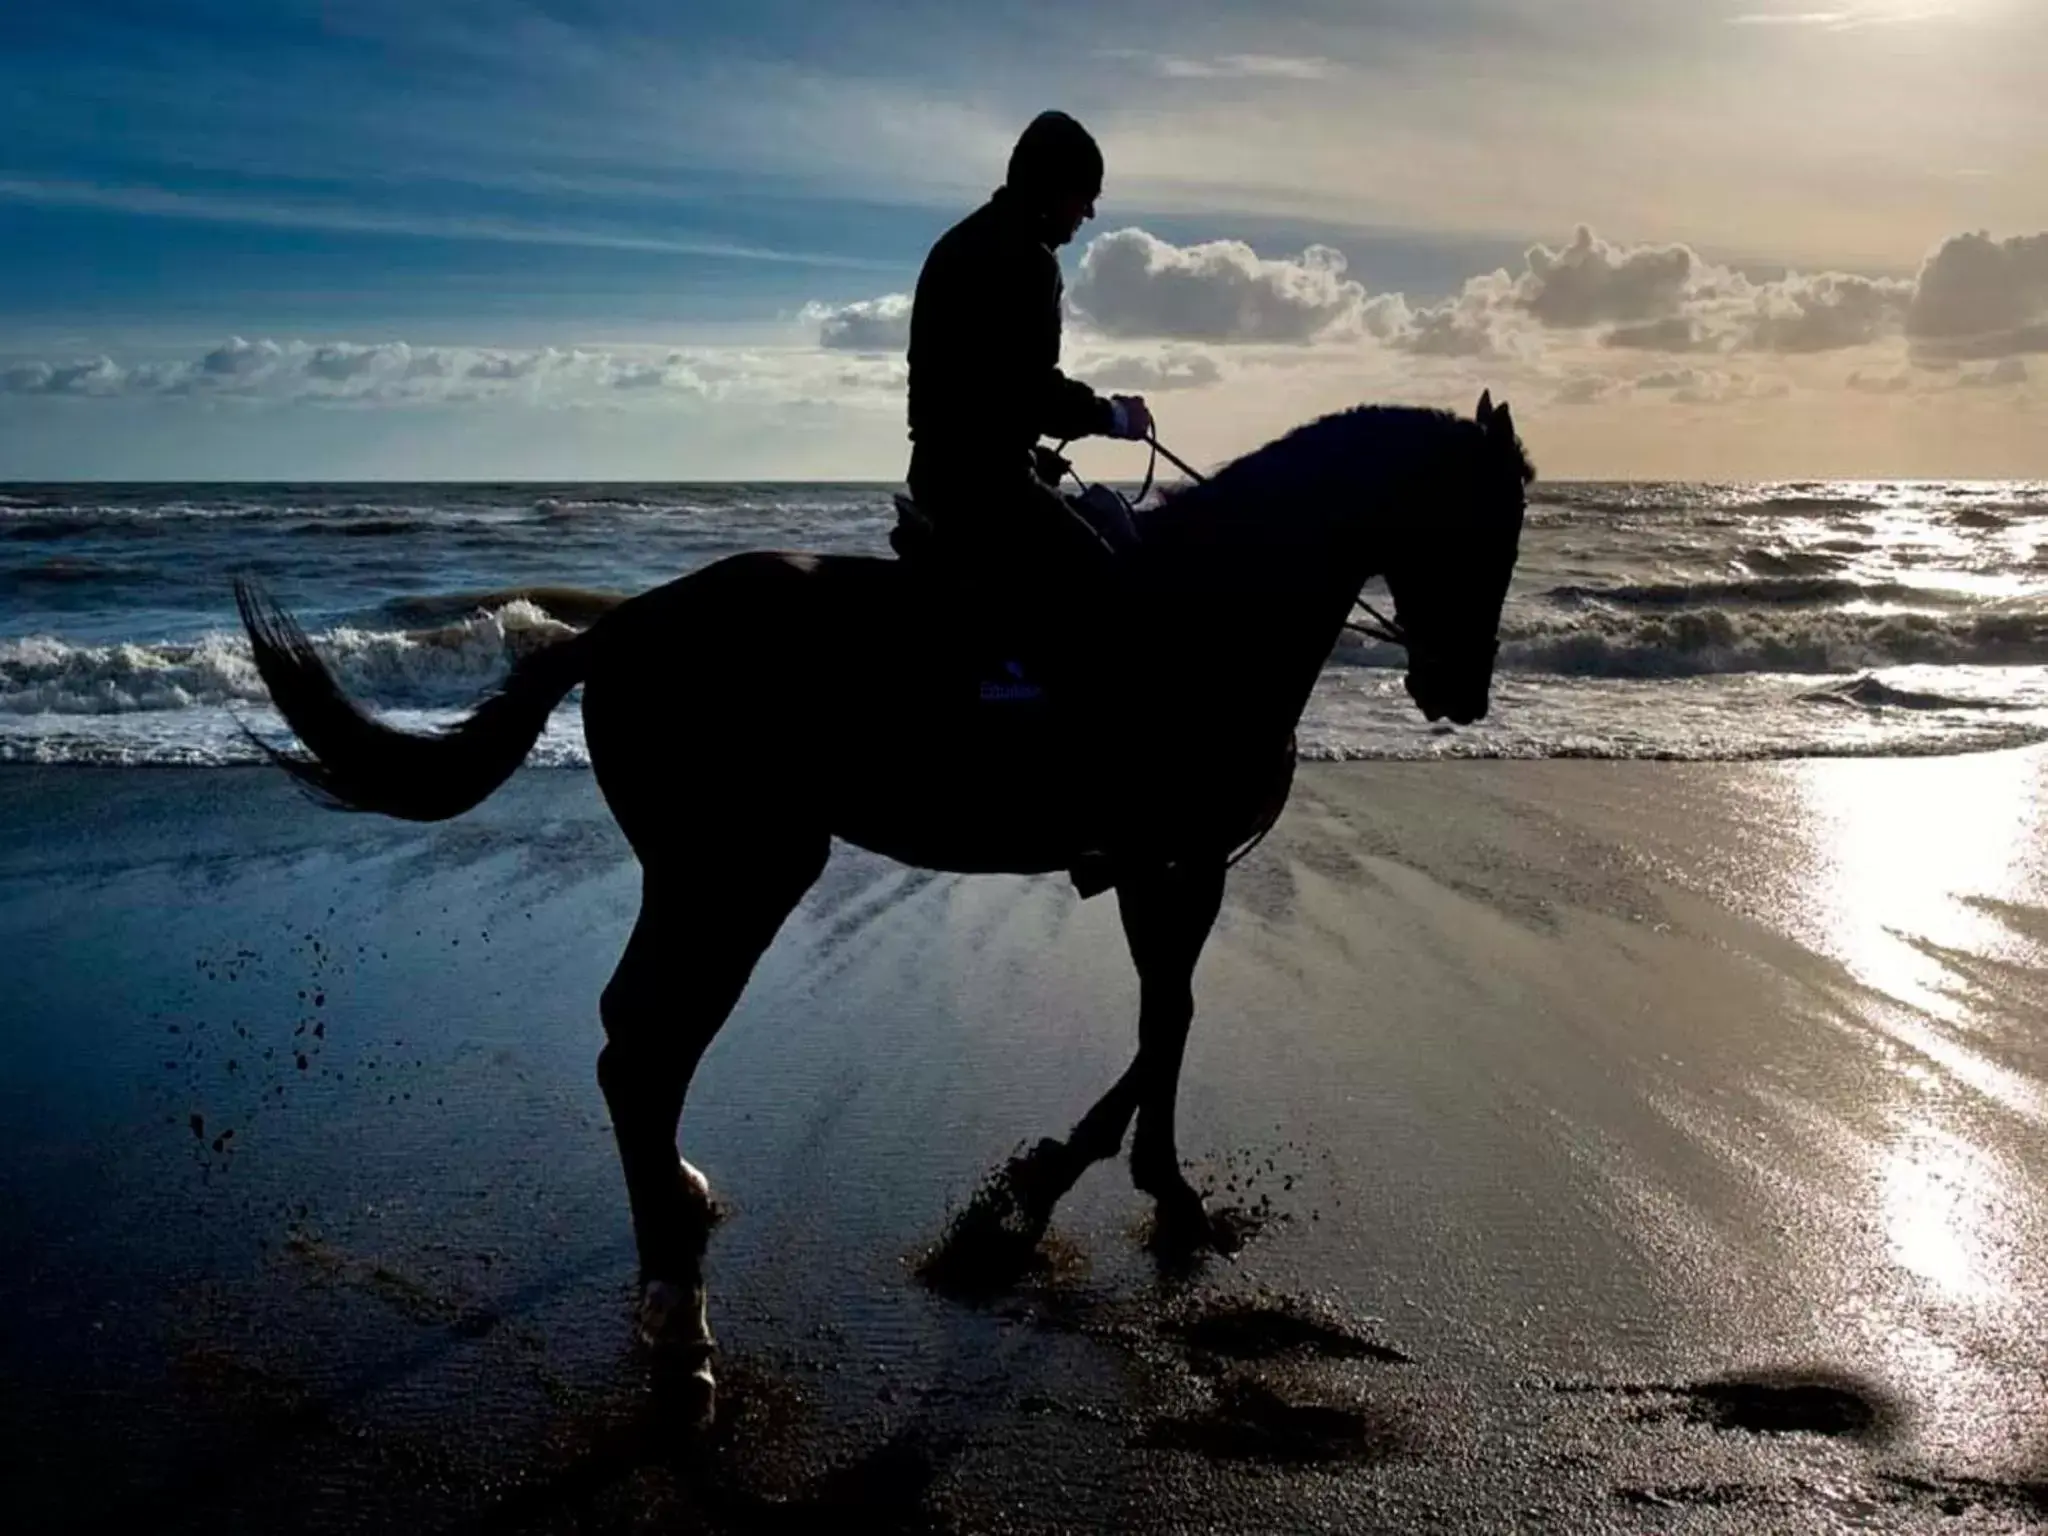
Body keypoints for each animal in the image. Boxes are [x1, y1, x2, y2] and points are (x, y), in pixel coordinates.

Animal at [232, 391, 1531, 1425]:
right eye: (1484, 527)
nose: (1458, 692)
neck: (1205, 613)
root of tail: (623, 626)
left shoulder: (1165, 867)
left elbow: (1163, 1019)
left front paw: (1067, 1180)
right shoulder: (1174, 861)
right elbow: (1168, 1021)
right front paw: (1103, 1191)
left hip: (707, 875)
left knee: (632, 1042)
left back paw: (680, 1214)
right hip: (735, 873)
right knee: (645, 1045)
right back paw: (679, 1323)